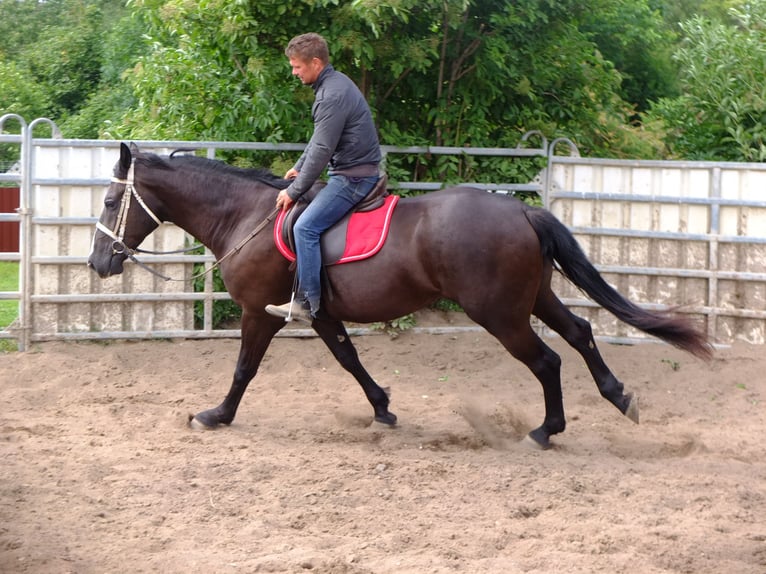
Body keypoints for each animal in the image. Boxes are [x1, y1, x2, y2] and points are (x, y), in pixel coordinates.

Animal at [87, 144, 712, 450]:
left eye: (111, 200)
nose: (98, 263)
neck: (247, 217)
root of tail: (521, 210)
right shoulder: (320, 314)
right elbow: (348, 358)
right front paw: (383, 407)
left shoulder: (259, 313)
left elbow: (244, 367)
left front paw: (216, 415)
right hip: (533, 299)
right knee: (580, 335)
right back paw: (618, 397)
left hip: (501, 315)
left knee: (548, 359)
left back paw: (545, 431)